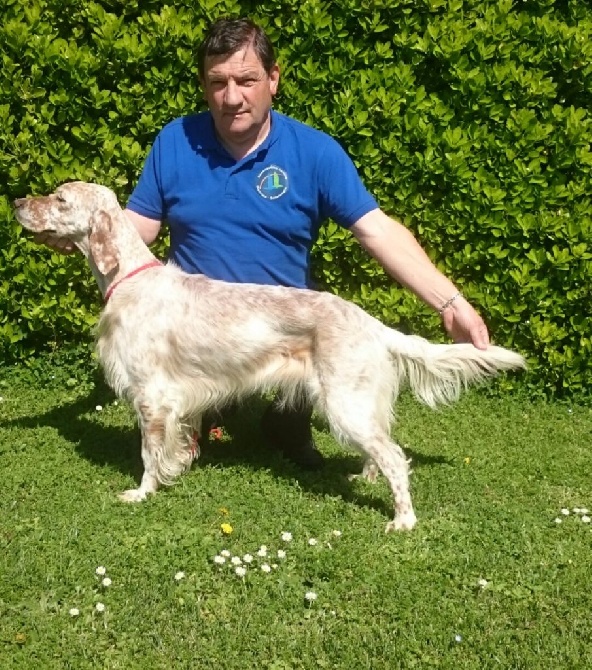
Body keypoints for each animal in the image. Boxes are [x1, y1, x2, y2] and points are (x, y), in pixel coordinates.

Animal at [12, 181, 524, 532]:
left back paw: (402, 520)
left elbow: (149, 454)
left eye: (60, 199)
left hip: (345, 403)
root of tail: (373, 325)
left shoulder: (153, 398)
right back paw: (367, 480)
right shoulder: (176, 403)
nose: (16, 203)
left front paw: (141, 493)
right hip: (359, 404)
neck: (128, 279)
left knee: (397, 459)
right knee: (383, 451)